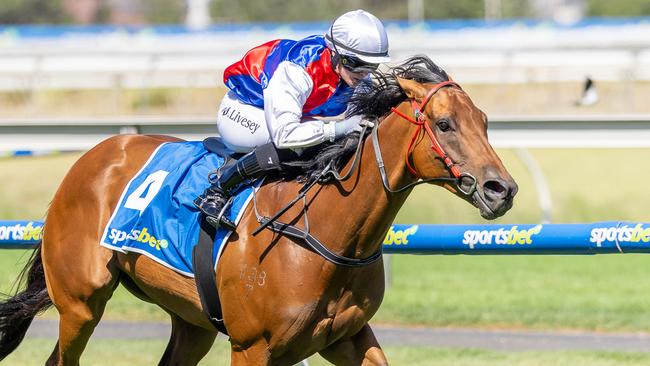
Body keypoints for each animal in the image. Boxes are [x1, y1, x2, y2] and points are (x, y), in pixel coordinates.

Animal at [0, 55, 516, 364]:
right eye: (445, 124)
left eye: (484, 121)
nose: (502, 189)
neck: (323, 232)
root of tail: (91, 158)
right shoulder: (252, 346)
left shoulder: (347, 336)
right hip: (81, 303)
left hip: (192, 322)